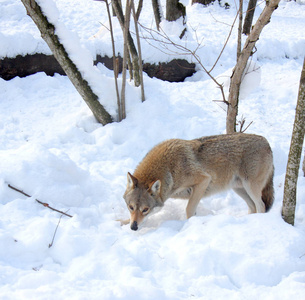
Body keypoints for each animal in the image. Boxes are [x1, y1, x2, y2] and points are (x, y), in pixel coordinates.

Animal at [122, 133, 274, 230]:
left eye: (145, 209)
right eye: (131, 207)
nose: (133, 228)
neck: (169, 169)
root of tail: (267, 142)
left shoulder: (203, 181)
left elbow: (189, 209)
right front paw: (123, 222)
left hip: (250, 187)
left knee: (261, 206)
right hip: (239, 189)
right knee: (252, 207)